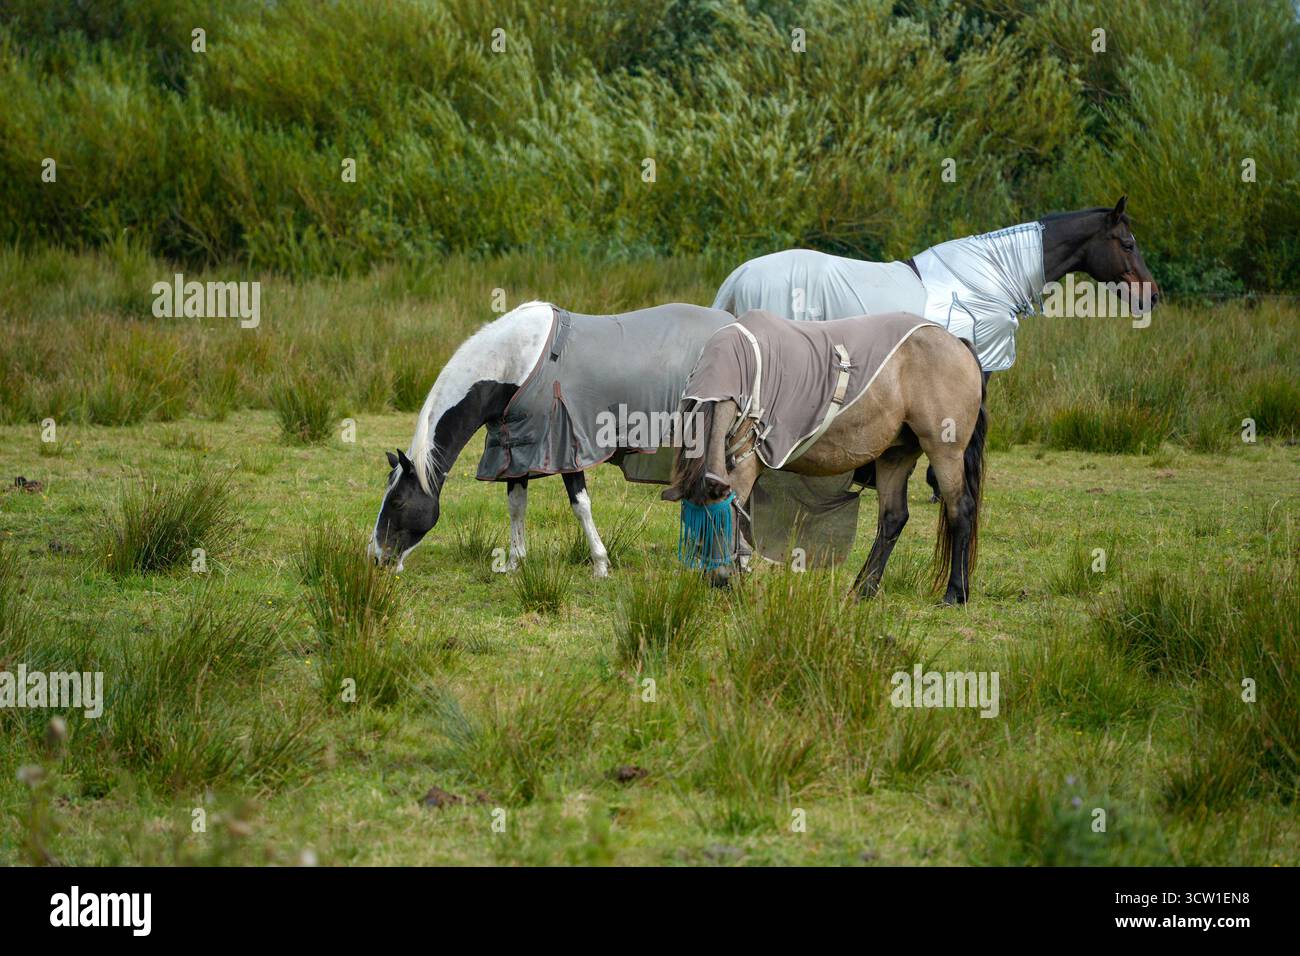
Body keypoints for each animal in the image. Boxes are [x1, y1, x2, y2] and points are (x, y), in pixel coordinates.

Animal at [369, 301, 736, 574]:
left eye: (397, 501)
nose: (376, 558)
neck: (513, 364)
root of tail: (734, 322)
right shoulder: (515, 449)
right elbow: (516, 506)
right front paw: (514, 563)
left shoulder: (566, 443)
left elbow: (580, 505)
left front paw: (600, 565)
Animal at [662, 310, 988, 605]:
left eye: (720, 521)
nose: (717, 580)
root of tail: (955, 342)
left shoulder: (745, 466)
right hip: (895, 455)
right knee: (893, 517)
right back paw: (863, 589)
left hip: (945, 451)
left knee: (961, 510)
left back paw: (955, 593)